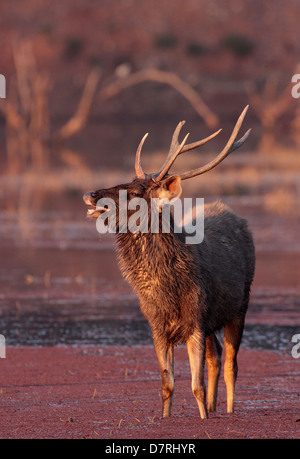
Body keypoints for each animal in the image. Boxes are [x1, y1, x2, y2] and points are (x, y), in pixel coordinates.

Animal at [83, 105, 254, 420]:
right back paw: (214, 406)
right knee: (216, 358)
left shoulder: (196, 320)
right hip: (213, 322)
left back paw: (228, 411)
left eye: (136, 192)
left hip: (240, 306)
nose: (91, 194)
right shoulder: (157, 326)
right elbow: (167, 384)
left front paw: (204, 418)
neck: (167, 291)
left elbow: (196, 385)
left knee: (231, 365)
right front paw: (167, 418)